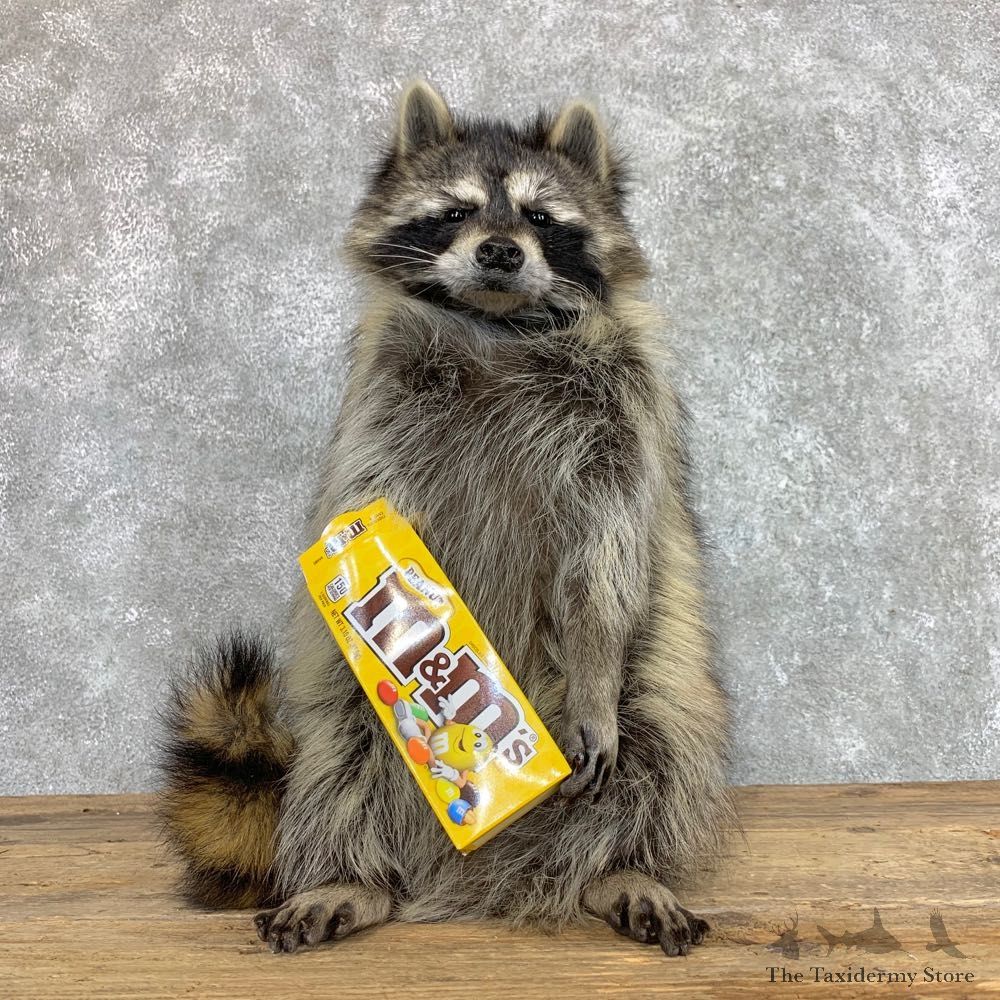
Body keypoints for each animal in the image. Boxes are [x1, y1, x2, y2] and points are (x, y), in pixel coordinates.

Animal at [158, 80, 734, 958]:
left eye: (539, 217)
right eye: (456, 212)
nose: (498, 252)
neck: (496, 320)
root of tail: (463, 879)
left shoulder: (620, 416)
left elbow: (604, 561)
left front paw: (593, 657)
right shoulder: (383, 399)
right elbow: (372, 505)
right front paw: (395, 596)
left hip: (663, 675)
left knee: (660, 744)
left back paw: (621, 868)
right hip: (347, 715)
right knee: (340, 764)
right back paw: (352, 875)